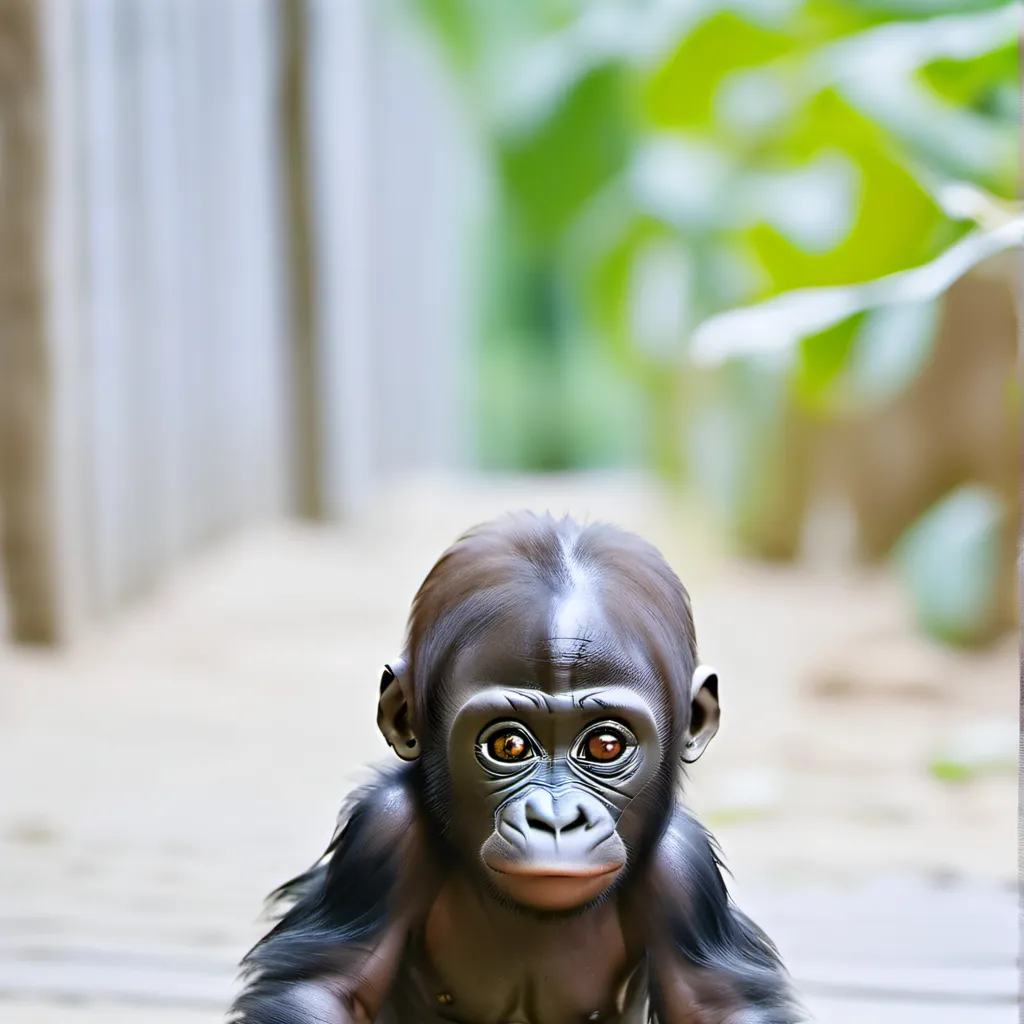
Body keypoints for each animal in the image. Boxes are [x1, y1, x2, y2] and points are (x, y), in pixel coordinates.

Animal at [230, 512, 802, 1024]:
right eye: (508, 746)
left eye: (605, 747)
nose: (556, 818)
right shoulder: (383, 835)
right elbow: (322, 985)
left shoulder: (685, 871)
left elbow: (717, 1004)